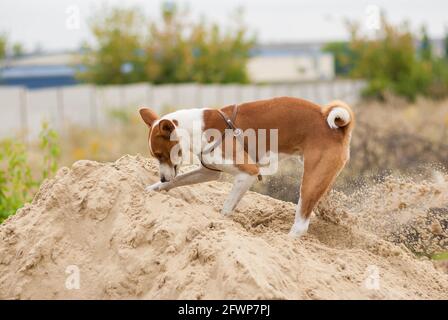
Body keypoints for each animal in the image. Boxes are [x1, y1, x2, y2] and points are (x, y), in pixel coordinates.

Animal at [140, 96, 354, 236]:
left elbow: (226, 208)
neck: (198, 129)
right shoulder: (208, 172)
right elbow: (175, 182)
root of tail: (337, 128)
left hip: (308, 184)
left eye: (161, 155)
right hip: (319, 178)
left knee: (301, 225)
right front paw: (153, 188)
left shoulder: (248, 173)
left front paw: (221, 222)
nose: (162, 177)